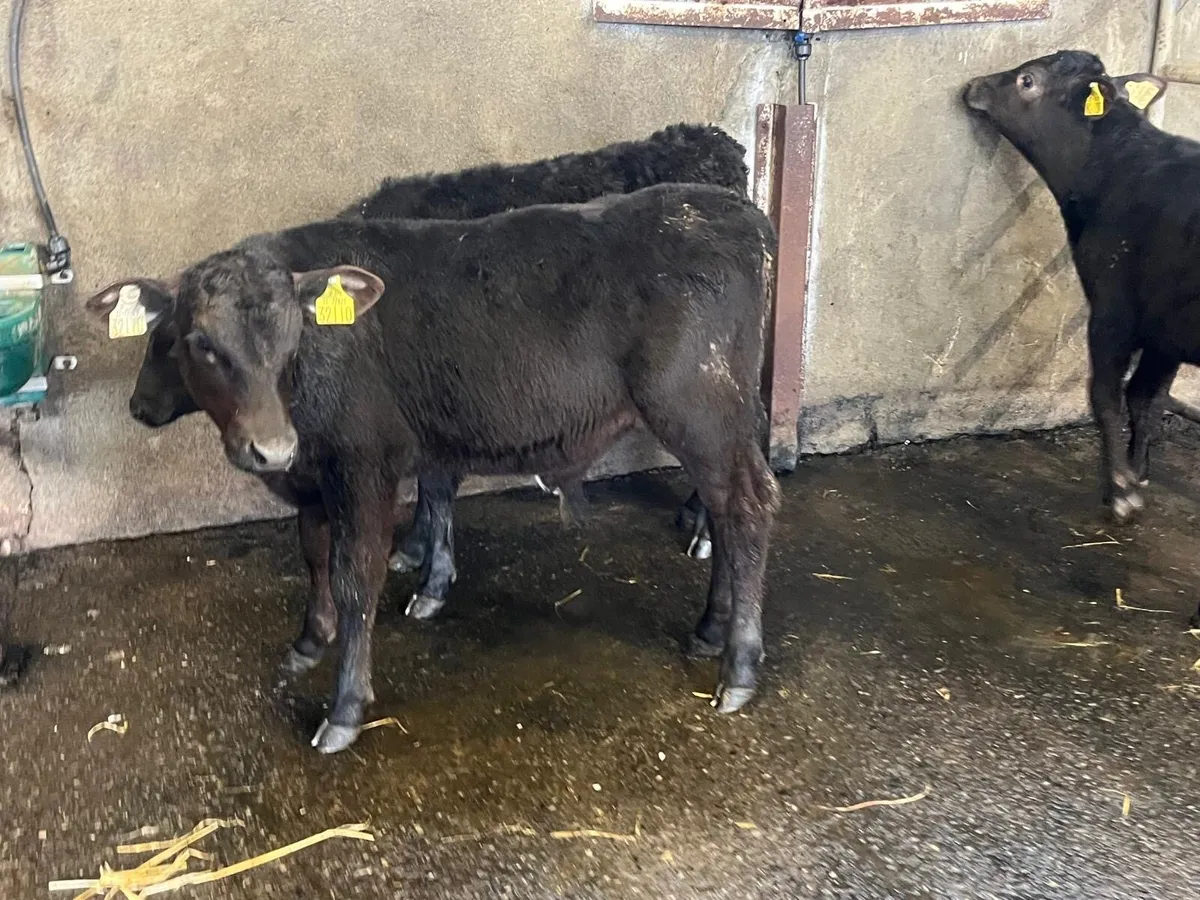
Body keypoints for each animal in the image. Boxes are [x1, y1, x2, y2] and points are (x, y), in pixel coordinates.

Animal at [88, 183, 780, 753]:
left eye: (292, 339)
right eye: (198, 341)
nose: (270, 448)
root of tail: (732, 210)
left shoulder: (364, 467)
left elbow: (355, 575)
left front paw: (344, 706)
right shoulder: (317, 477)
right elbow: (313, 553)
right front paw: (310, 641)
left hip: (700, 409)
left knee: (747, 507)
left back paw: (740, 665)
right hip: (723, 417)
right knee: (726, 512)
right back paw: (710, 629)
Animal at [126, 124, 748, 620]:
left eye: (172, 340)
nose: (136, 405)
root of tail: (711, 140)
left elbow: (437, 486)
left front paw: (426, 568)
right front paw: (416, 550)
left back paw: (701, 528)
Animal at [963, 51, 1188, 524]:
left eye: (1027, 81)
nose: (974, 84)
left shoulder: (1113, 309)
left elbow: (1107, 394)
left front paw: (1120, 490)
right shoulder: (1164, 329)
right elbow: (1147, 398)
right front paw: (1137, 473)